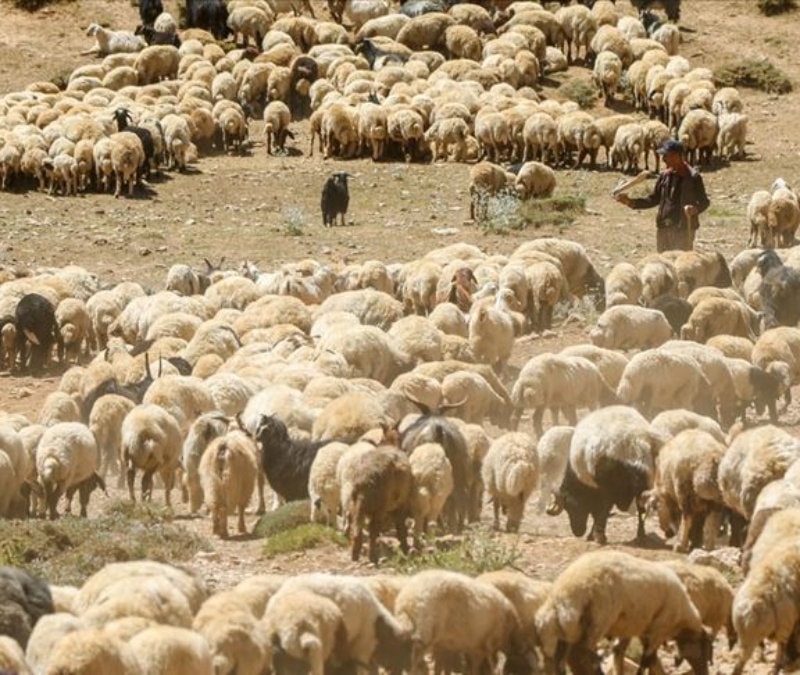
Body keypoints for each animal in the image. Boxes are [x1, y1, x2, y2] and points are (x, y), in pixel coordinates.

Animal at [535, 550, 711, 675]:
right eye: (704, 650)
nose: (703, 673)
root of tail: (564, 594)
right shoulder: (658, 629)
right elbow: (647, 660)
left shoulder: (633, 627)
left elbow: (620, 652)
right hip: (599, 618)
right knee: (582, 654)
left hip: (568, 629)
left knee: (560, 660)